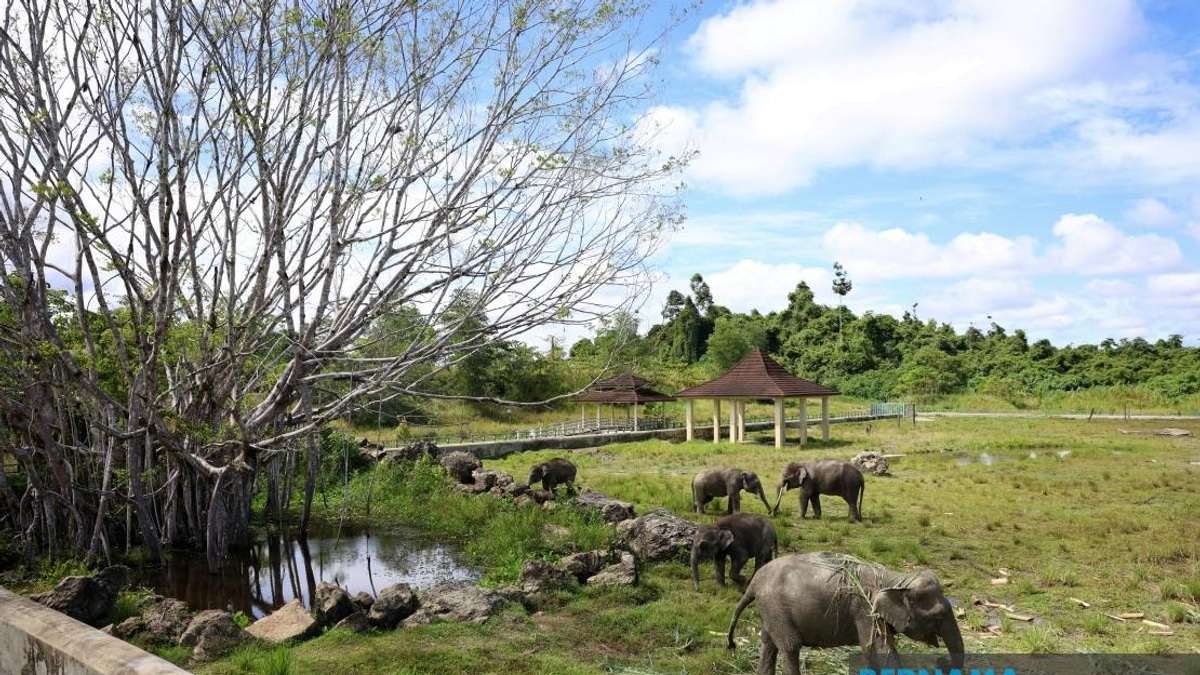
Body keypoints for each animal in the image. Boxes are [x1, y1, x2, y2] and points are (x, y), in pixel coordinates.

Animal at [727, 552, 964, 674]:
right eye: (937, 616)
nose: (941, 661)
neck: (895, 579)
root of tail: (753, 583)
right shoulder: (864, 609)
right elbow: (878, 648)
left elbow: (874, 651)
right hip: (776, 609)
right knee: (790, 646)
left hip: (770, 612)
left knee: (769, 645)